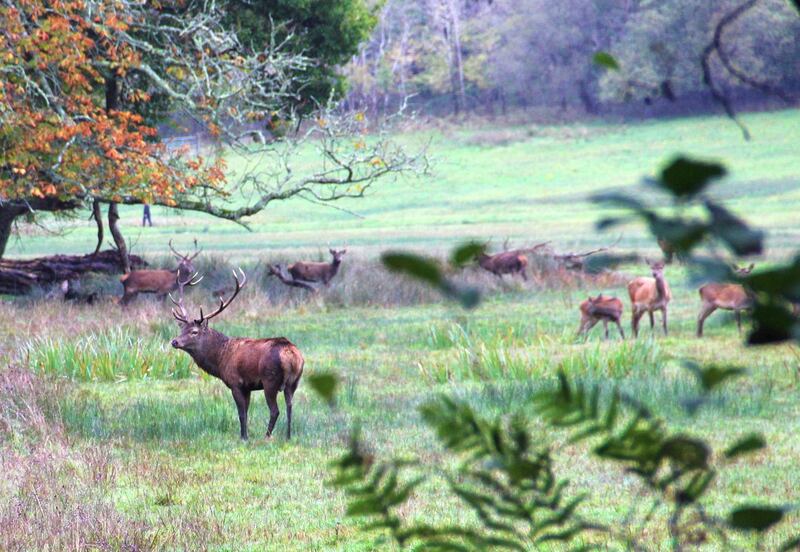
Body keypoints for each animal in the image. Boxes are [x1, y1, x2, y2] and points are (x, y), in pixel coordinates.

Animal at [170, 270, 304, 442]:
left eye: (194, 332)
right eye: (182, 329)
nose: (174, 341)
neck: (220, 359)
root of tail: (291, 354)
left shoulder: (236, 383)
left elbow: (242, 413)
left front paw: (244, 437)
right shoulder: (248, 387)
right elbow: (246, 412)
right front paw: (245, 435)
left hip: (270, 380)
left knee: (275, 410)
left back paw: (266, 436)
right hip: (294, 381)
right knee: (290, 406)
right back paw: (288, 436)